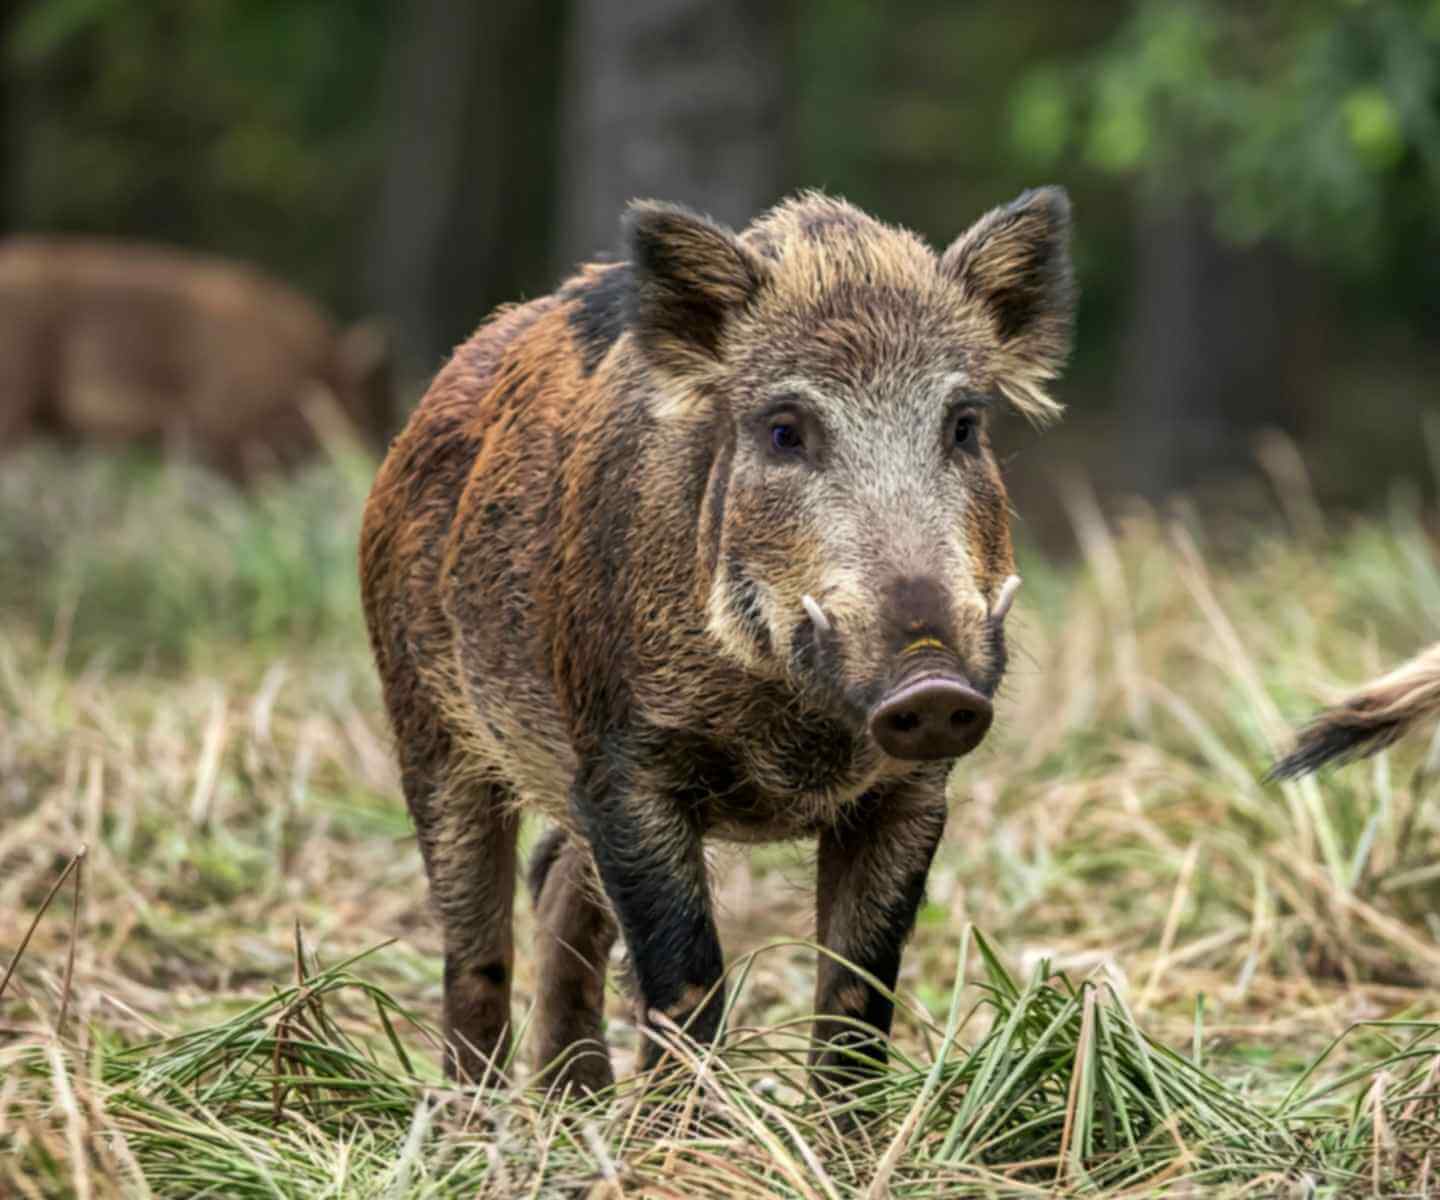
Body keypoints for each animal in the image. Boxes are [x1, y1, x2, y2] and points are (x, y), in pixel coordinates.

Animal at [359, 187, 1075, 1095]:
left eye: (964, 425)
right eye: (784, 430)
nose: (933, 682)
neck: (792, 731)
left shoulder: (911, 790)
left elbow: (857, 997)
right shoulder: (624, 765)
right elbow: (686, 978)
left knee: (556, 880)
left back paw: (577, 1101)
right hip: (426, 720)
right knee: (473, 944)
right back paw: (474, 1112)